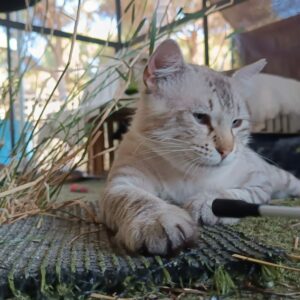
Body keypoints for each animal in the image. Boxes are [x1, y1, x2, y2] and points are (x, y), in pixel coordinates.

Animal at [99, 38, 300, 255]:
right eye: (200, 117)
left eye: (236, 123)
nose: (227, 150)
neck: (188, 175)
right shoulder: (121, 184)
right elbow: (139, 199)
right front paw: (158, 220)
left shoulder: (259, 183)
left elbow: (233, 195)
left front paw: (206, 202)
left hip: (280, 178)